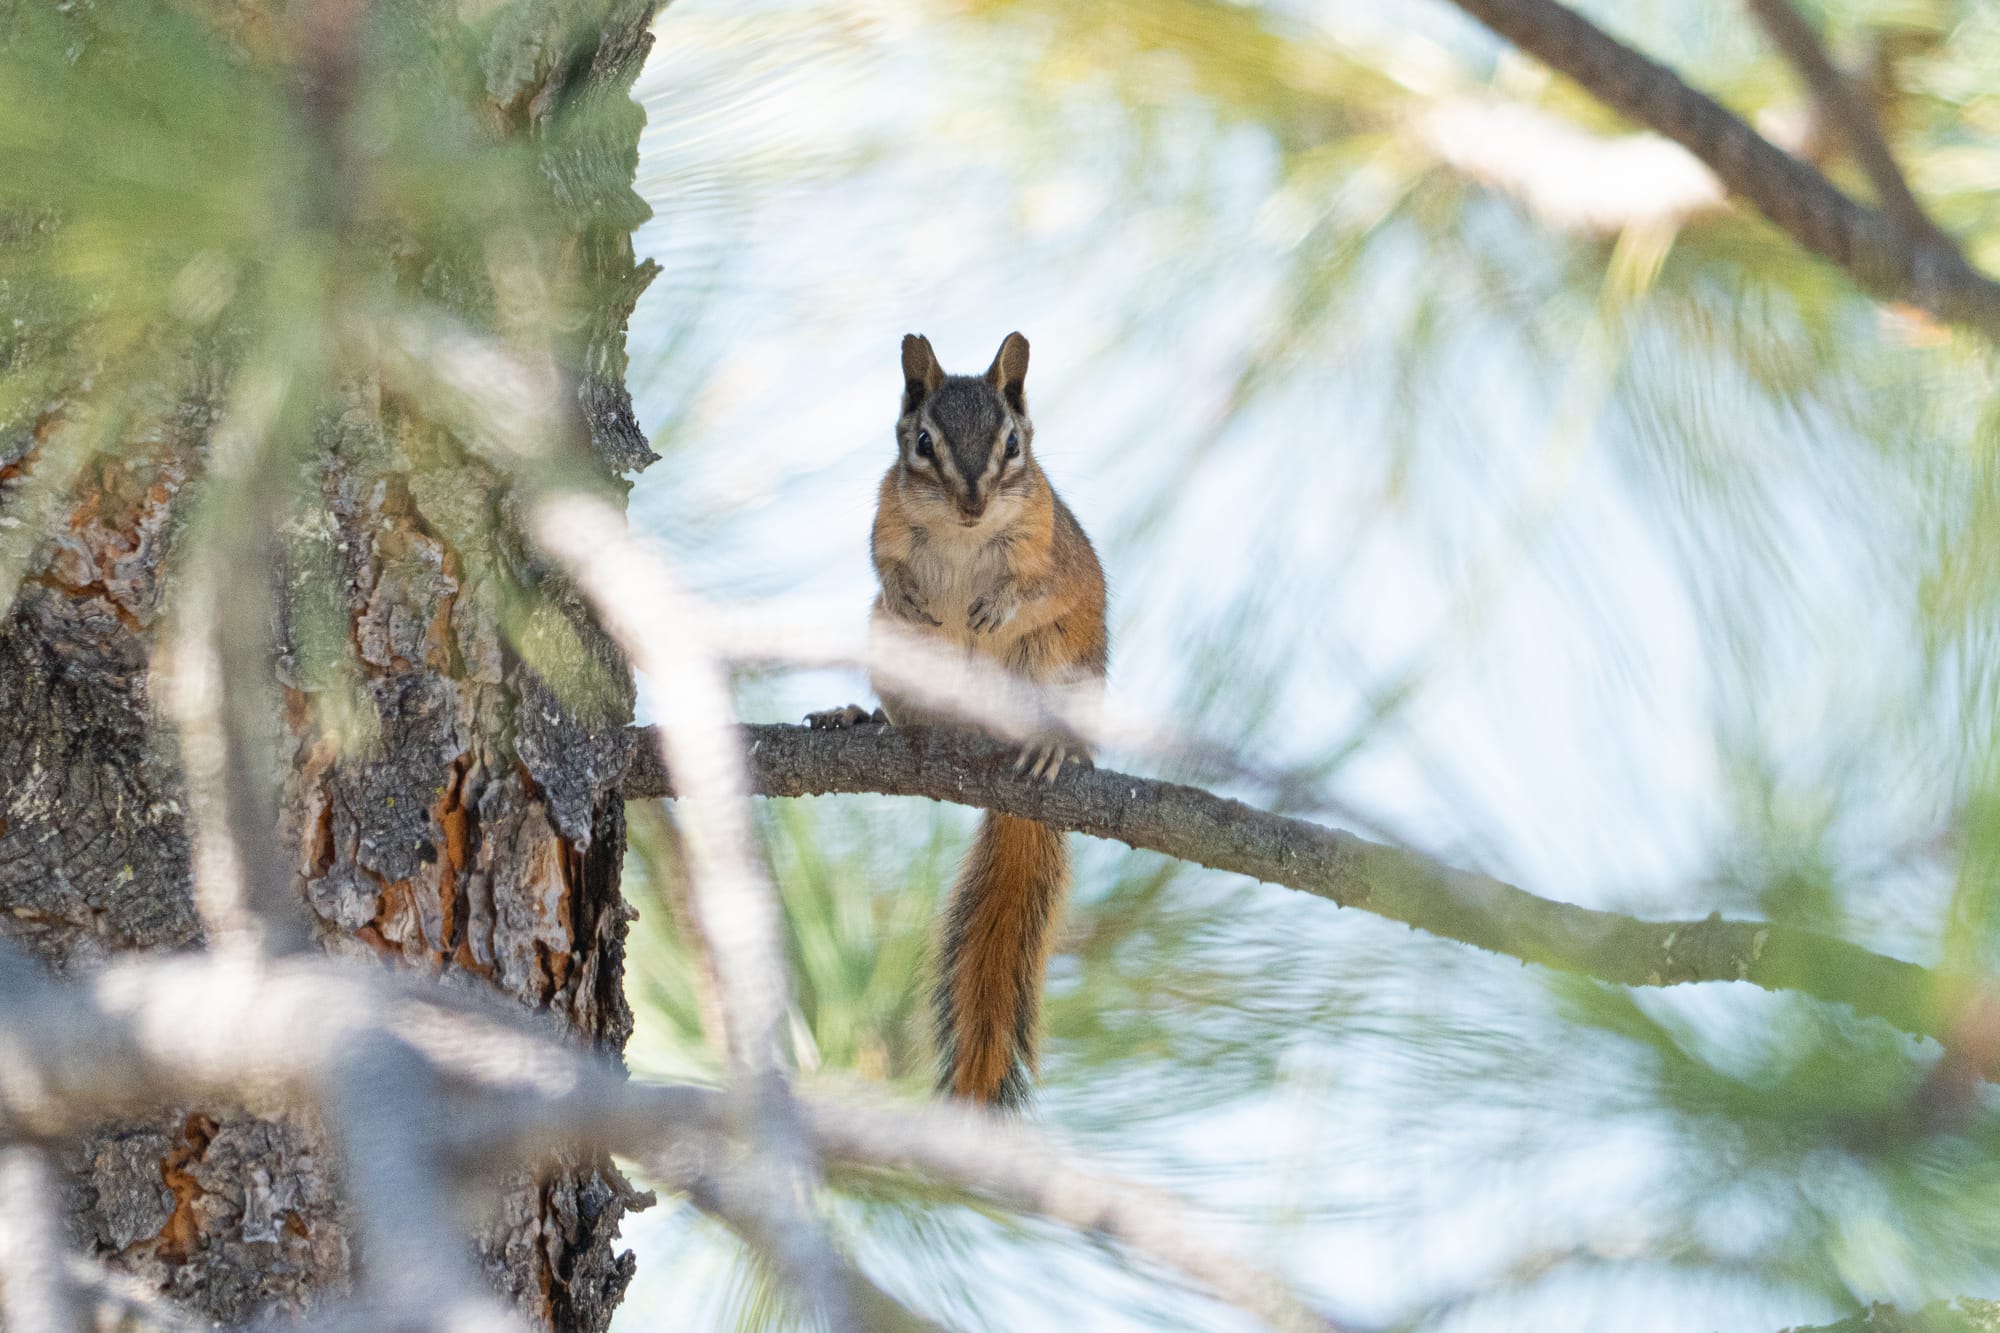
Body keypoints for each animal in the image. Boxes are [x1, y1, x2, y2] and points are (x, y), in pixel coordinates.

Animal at [808, 331, 1108, 1108]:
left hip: (1055, 664)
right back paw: (861, 717)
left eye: (1013, 443)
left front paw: (994, 605)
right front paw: (909, 593)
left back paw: (1050, 749)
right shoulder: (884, 522)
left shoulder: (1047, 546)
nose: (973, 502)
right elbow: (884, 564)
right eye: (923, 441)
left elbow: (1038, 585)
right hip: (892, 650)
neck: (964, 535)